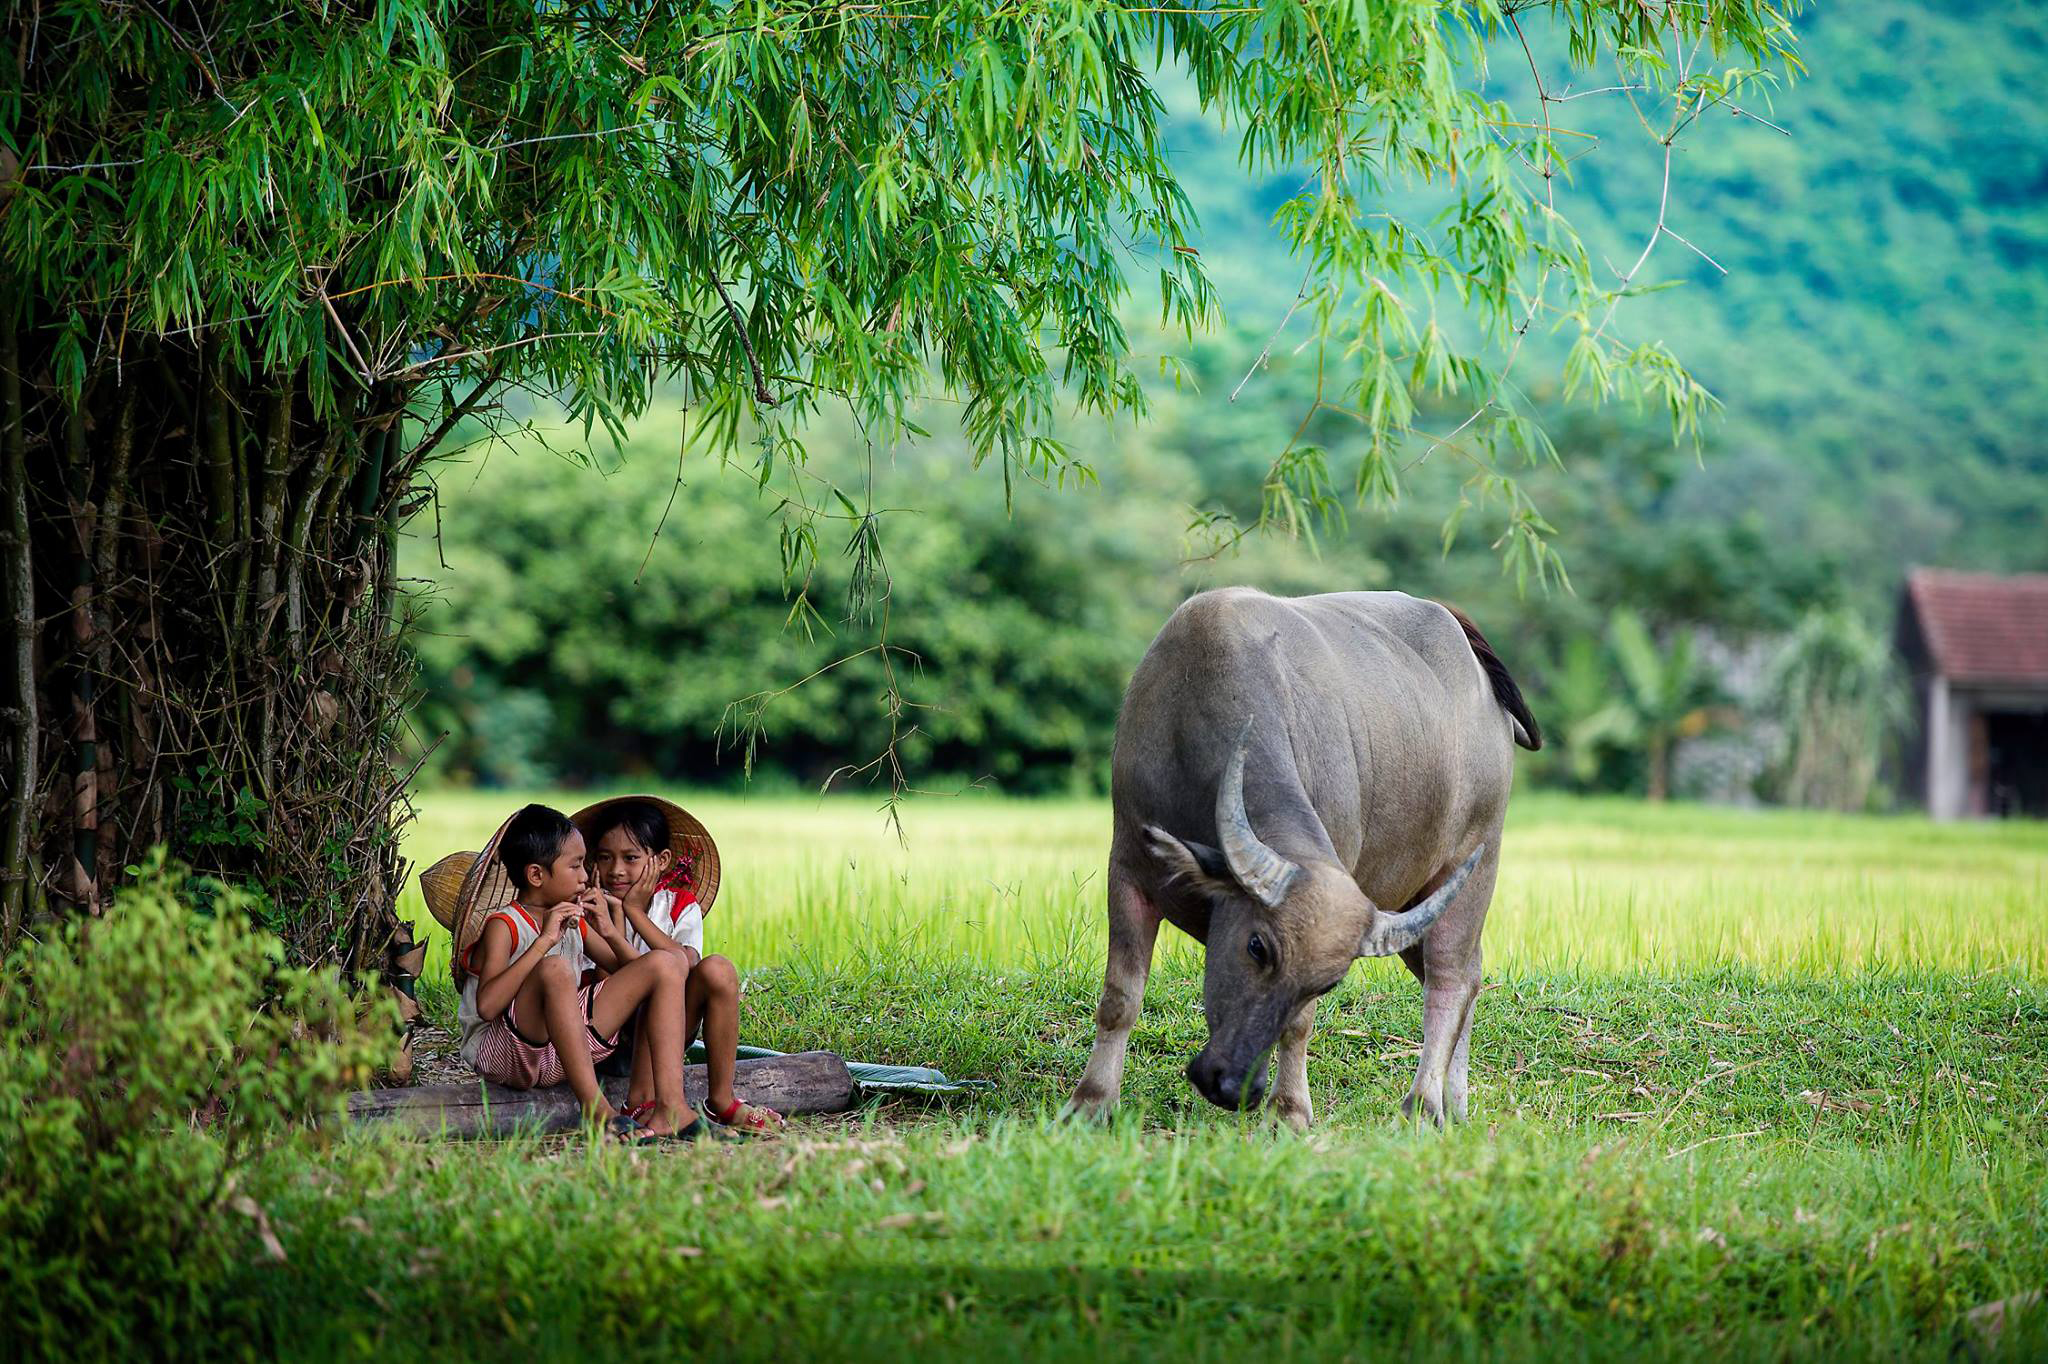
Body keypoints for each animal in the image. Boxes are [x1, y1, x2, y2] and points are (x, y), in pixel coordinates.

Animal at [1073, 585, 1540, 1122]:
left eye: (1327, 984)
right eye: (1257, 946)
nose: (1233, 1087)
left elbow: (1300, 1025)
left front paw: (1289, 1111)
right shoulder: (1128, 868)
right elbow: (1120, 996)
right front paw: (1092, 1101)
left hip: (1475, 865)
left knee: (1450, 981)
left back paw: (1422, 1105)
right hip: (1415, 902)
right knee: (1468, 974)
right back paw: (1454, 1105)